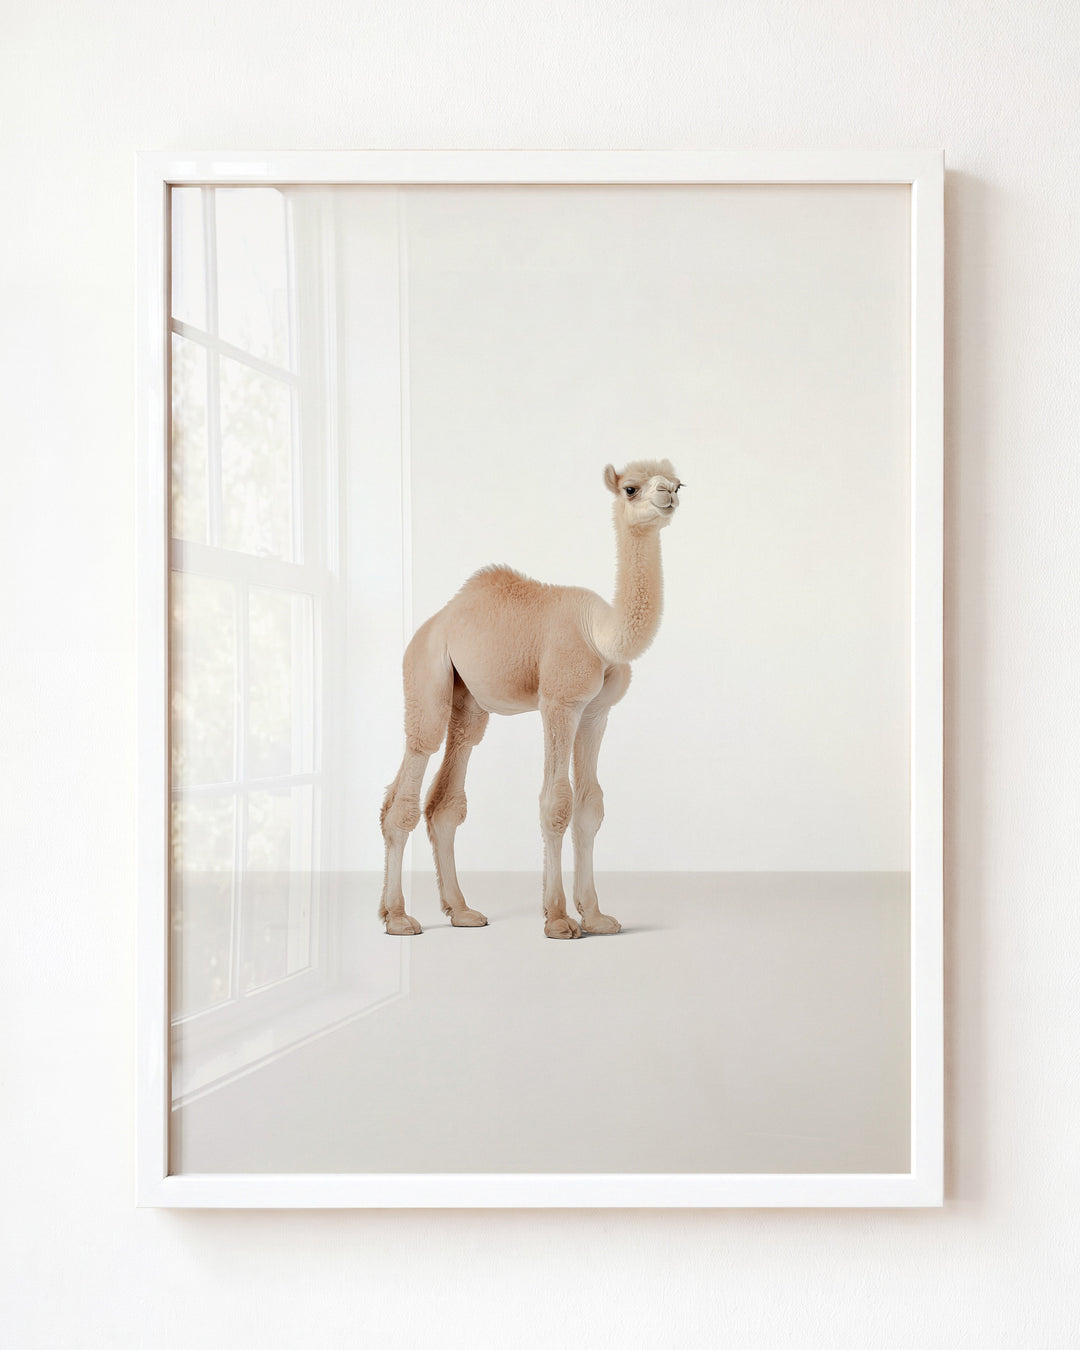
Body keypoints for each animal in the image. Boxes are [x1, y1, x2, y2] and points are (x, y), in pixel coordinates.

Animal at [379, 459, 682, 939]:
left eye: (678, 483)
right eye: (631, 488)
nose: (667, 493)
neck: (601, 633)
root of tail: (434, 623)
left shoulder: (596, 711)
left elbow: (590, 806)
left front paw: (596, 916)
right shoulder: (559, 701)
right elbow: (555, 802)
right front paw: (558, 919)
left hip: (469, 702)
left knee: (447, 795)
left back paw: (462, 910)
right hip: (425, 674)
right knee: (412, 771)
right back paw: (398, 917)